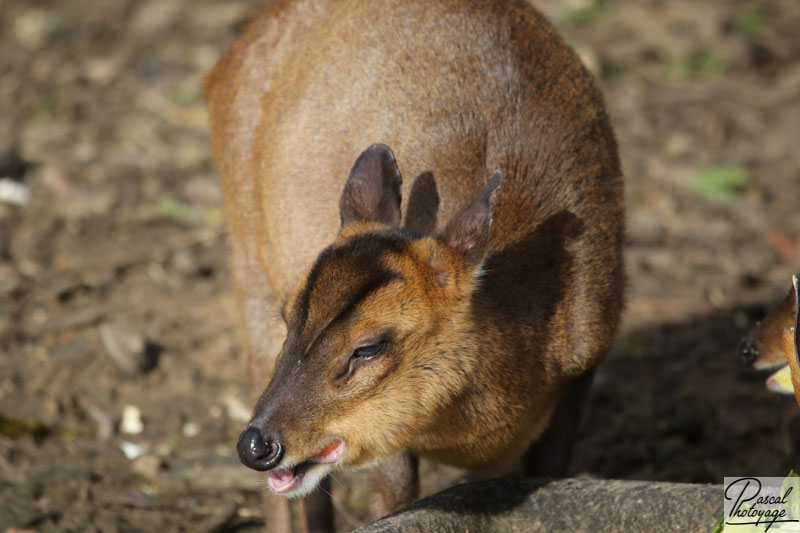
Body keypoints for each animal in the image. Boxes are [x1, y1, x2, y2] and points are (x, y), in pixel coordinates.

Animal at [202, 0, 624, 528]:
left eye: (368, 347)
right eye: (290, 315)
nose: (257, 445)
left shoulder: (587, 358)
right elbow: (395, 500)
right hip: (248, 263)